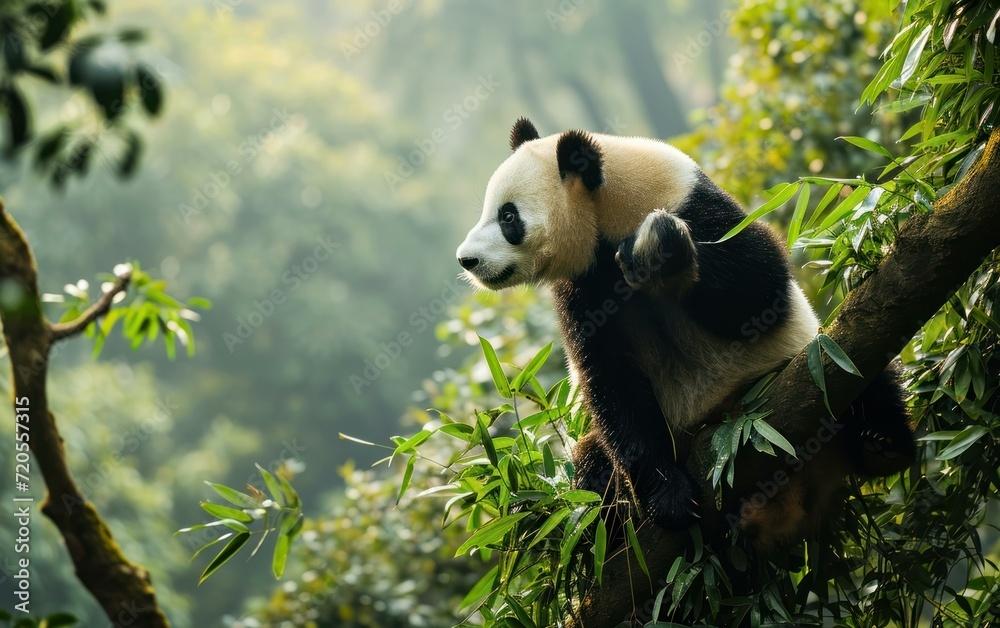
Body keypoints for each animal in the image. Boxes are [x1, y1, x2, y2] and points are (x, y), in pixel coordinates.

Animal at [456, 117, 914, 546]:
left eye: (508, 216)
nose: (467, 259)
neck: (609, 208)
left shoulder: (693, 204)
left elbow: (759, 288)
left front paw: (661, 253)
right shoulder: (584, 287)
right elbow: (610, 379)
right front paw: (671, 500)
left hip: (801, 363)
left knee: (857, 368)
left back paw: (880, 442)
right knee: (593, 466)